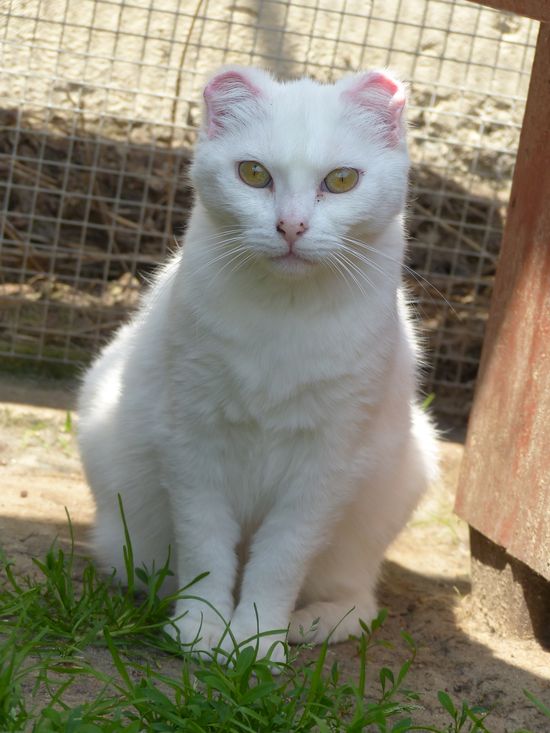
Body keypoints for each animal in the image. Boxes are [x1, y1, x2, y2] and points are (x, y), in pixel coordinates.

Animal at [77, 67, 440, 664]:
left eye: (342, 180)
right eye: (253, 174)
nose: (290, 226)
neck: (283, 318)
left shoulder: (326, 466)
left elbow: (279, 561)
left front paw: (256, 641)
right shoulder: (192, 442)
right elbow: (206, 550)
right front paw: (202, 631)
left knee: (360, 604)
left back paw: (309, 624)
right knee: (141, 566)